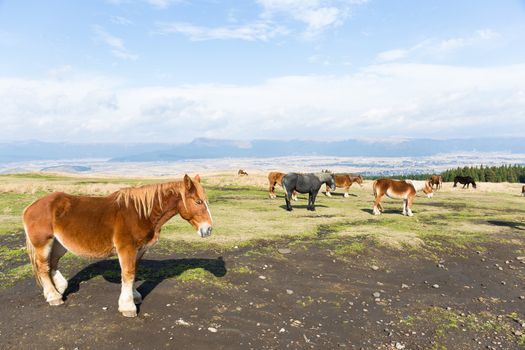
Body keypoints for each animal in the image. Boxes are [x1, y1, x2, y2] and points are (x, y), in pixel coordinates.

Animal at [22, 174, 211, 318]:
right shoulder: (126, 249)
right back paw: (53, 296)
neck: (141, 213)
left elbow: (134, 273)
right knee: (43, 267)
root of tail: (30, 206)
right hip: (44, 243)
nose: (208, 229)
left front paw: (135, 297)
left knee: (52, 264)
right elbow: (128, 274)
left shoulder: (139, 250)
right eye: (198, 202)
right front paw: (128, 306)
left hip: (59, 244)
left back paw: (59, 288)